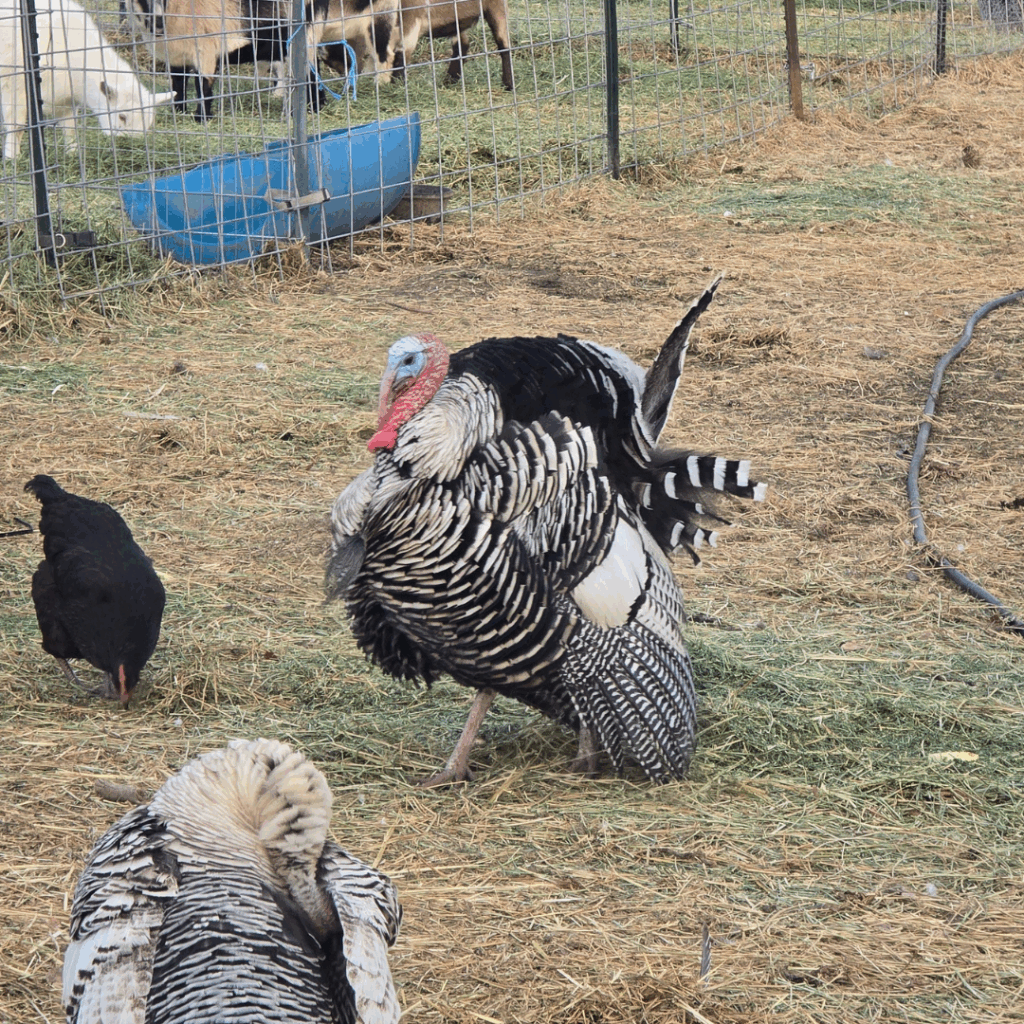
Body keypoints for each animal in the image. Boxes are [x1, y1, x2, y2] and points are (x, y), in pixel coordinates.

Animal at [1, 0, 175, 160]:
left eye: (148, 123)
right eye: (122, 117)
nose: (129, 146)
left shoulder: (65, 100)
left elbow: (70, 128)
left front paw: (72, 154)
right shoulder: (15, 89)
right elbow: (16, 127)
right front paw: (12, 158)